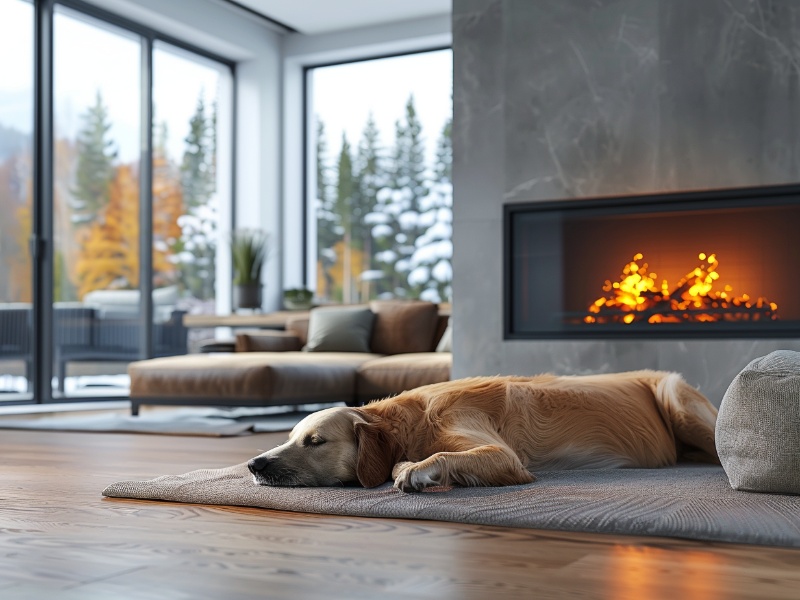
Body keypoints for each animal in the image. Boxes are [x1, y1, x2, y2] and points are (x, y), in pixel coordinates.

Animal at [245, 370, 720, 492]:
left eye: (315, 441)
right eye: (288, 438)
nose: (254, 463)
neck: (416, 420)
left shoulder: (503, 455)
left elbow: (434, 458)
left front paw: (414, 471)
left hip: (677, 400)